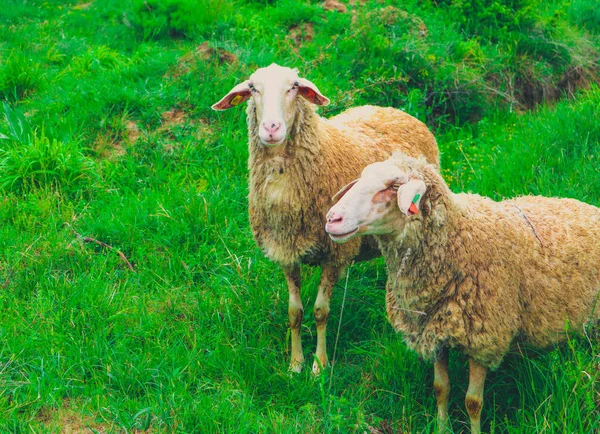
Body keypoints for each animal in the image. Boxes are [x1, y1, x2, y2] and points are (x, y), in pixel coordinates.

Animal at [213, 62, 438, 374]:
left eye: (294, 86)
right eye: (253, 88)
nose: (271, 128)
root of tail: (394, 110)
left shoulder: (335, 252)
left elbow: (321, 312)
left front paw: (319, 365)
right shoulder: (287, 251)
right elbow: (294, 312)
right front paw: (295, 364)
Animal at [326, 152, 600, 430]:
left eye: (393, 186)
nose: (332, 219)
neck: (458, 240)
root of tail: (588, 207)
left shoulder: (484, 339)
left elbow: (473, 402)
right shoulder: (433, 333)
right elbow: (440, 388)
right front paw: (441, 427)